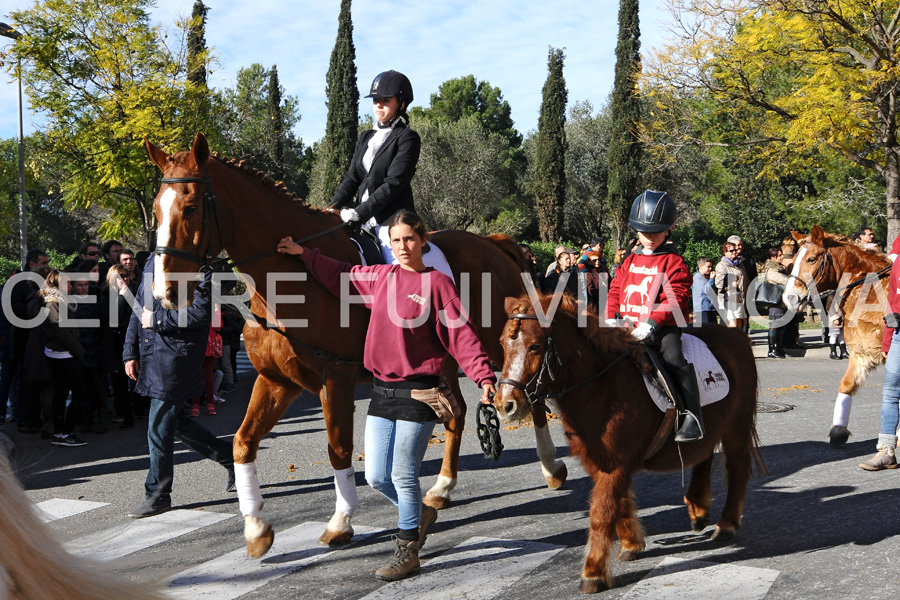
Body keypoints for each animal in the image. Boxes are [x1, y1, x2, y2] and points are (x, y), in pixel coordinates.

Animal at [143, 134, 568, 560]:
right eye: (156, 210)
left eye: (191, 207)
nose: (165, 293)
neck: (290, 278)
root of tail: (492, 243)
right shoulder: (276, 381)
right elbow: (242, 444)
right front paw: (256, 528)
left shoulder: (336, 379)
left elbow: (338, 448)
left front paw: (341, 522)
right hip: (447, 359)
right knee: (458, 413)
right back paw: (442, 487)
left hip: (502, 345)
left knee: (530, 392)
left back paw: (551, 468)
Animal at [496, 292, 764, 592]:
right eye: (503, 344)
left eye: (535, 345)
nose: (505, 404)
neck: (602, 385)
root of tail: (737, 335)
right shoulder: (601, 461)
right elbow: (619, 502)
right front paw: (631, 545)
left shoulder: (615, 464)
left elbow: (602, 513)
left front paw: (593, 572)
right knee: (703, 454)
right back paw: (698, 508)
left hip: (737, 426)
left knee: (737, 467)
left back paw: (726, 524)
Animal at [784, 225, 888, 446]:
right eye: (794, 260)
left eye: (811, 259)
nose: (790, 298)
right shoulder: (861, 352)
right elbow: (847, 385)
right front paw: (838, 430)